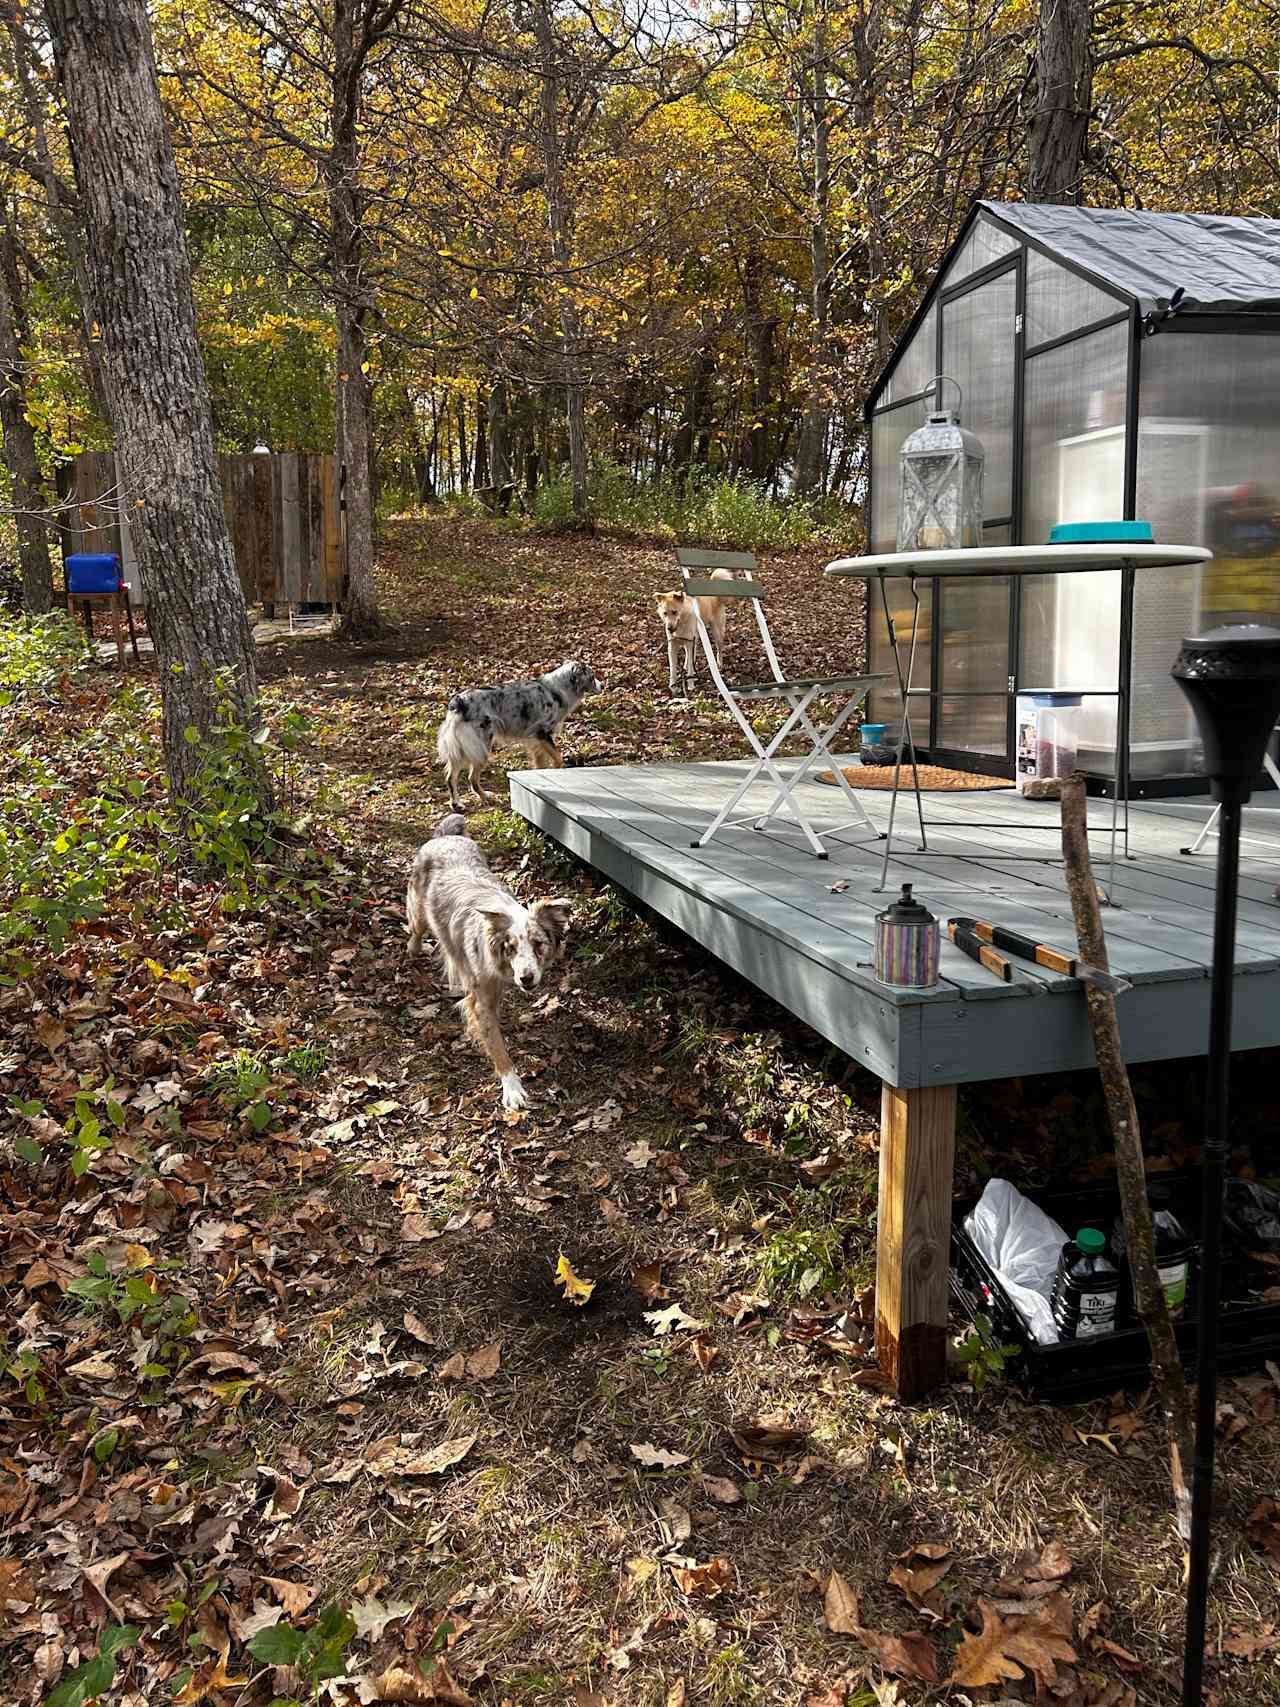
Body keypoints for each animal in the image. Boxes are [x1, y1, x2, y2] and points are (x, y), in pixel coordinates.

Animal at [407, 809, 573, 1106]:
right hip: (419, 912)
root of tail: (444, 836)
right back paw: (415, 948)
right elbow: (496, 1044)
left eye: (538, 944)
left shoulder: (496, 988)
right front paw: (512, 1088)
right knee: (415, 931)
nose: (526, 978)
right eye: (511, 947)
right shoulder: (480, 999)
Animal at [436, 655, 600, 809]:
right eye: (592, 677)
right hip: (481, 746)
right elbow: (558, 759)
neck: (557, 691)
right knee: (472, 778)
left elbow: (541, 765)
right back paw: (485, 797)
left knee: (451, 777)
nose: (603, 685)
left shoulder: (536, 740)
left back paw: (456, 803)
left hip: (462, 749)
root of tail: (459, 701)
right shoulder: (542, 733)